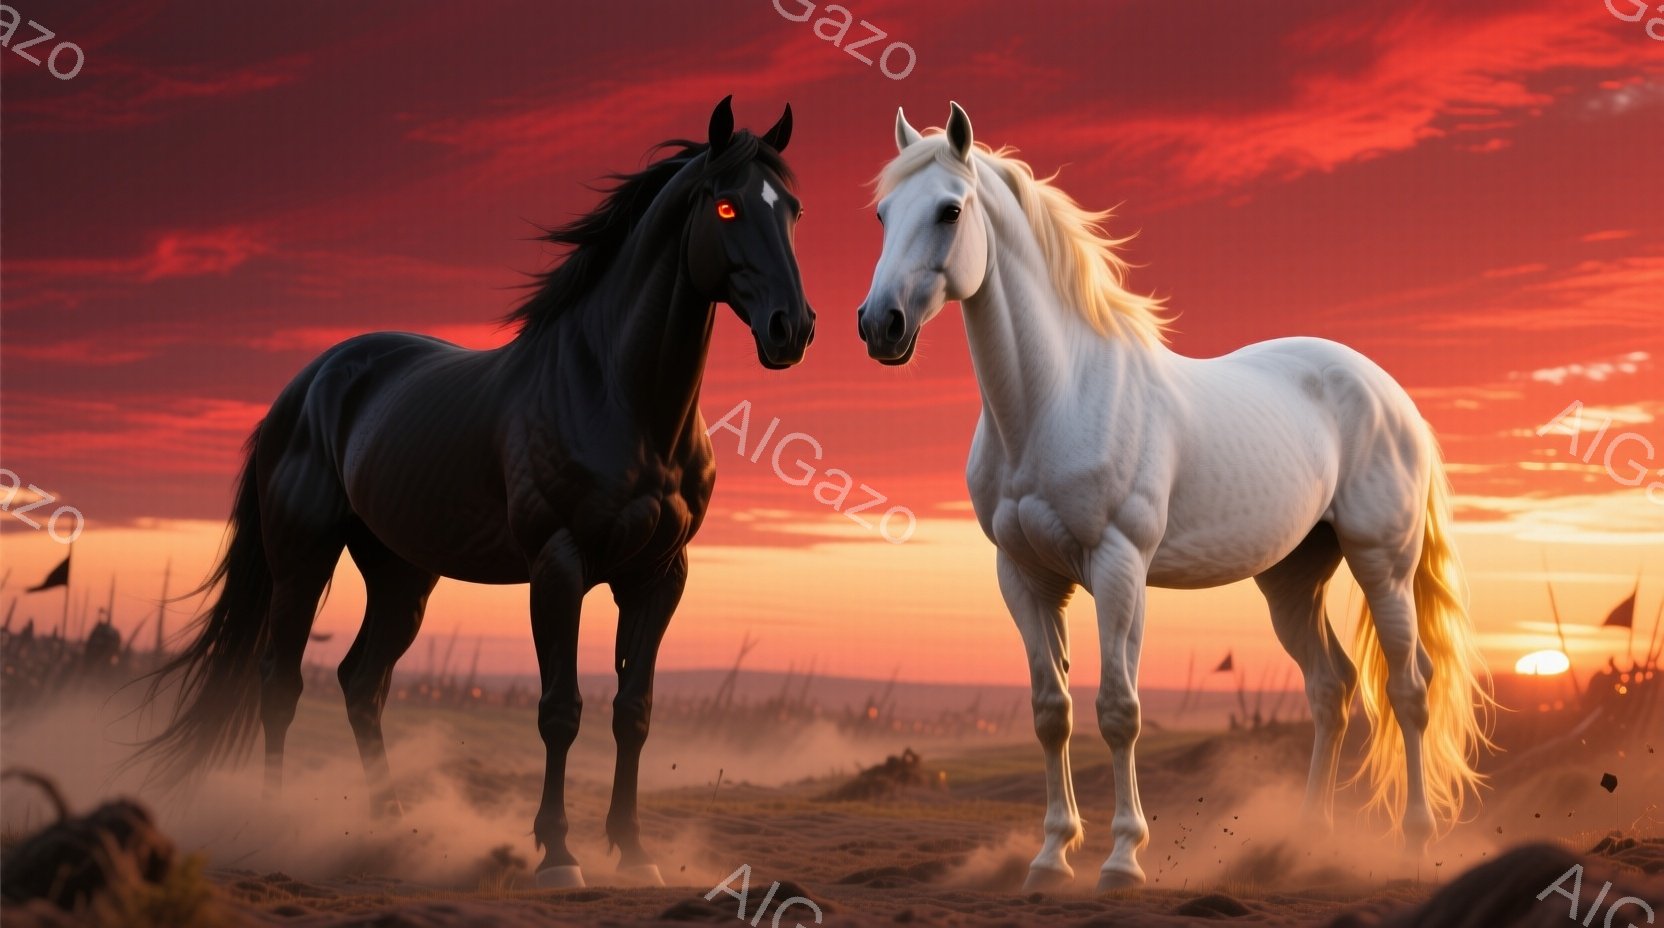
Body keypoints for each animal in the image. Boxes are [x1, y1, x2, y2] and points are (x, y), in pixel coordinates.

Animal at [137, 96, 814, 889]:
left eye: (793, 209)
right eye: (728, 206)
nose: (792, 329)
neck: (619, 398)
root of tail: (310, 383)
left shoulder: (658, 577)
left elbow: (634, 712)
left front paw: (634, 852)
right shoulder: (559, 567)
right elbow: (560, 710)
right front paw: (558, 855)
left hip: (402, 577)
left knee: (361, 683)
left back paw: (389, 826)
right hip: (302, 564)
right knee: (282, 683)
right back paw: (275, 822)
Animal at [855, 103, 1491, 891]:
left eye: (949, 210)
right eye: (883, 213)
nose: (879, 325)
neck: (1056, 398)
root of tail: (1390, 393)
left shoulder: (1118, 567)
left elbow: (1119, 709)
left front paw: (1123, 859)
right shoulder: (1024, 576)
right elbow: (1050, 711)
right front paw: (1051, 856)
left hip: (1383, 566)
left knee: (1409, 689)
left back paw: (1412, 843)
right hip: (1291, 579)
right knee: (1331, 687)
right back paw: (1309, 838)